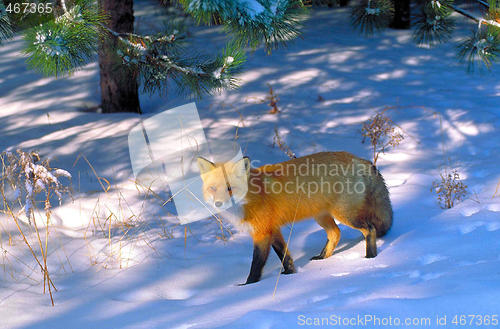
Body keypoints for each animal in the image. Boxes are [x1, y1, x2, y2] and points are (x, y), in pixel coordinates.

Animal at [197, 151, 392, 282]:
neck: (251, 196)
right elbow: (285, 257)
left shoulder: (262, 233)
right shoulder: (273, 229)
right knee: (335, 233)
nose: (218, 204)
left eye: (230, 188)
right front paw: (290, 275)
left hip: (345, 214)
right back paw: (322, 258)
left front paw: (248, 285)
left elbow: (257, 264)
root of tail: (356, 157)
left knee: (369, 229)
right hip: (321, 217)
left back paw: (370, 258)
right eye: (213, 188)